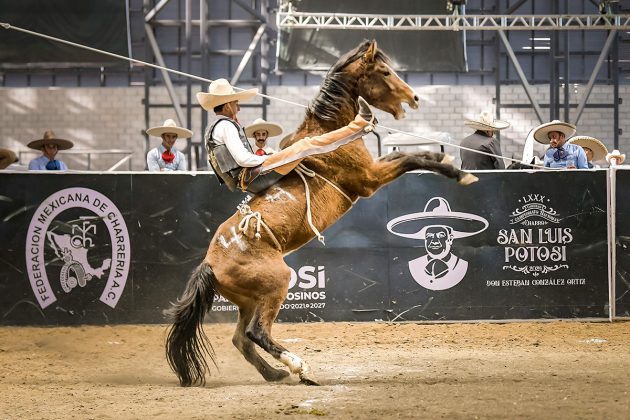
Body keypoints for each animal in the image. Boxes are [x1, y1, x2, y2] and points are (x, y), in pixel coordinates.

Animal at [165, 41, 476, 386]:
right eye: (384, 72)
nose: (415, 98)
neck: (329, 128)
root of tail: (209, 263)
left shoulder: (372, 170)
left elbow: (416, 155)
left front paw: (445, 158)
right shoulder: (369, 179)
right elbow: (411, 159)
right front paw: (460, 174)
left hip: (249, 300)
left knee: (241, 339)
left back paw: (276, 373)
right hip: (276, 285)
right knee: (256, 332)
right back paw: (300, 368)